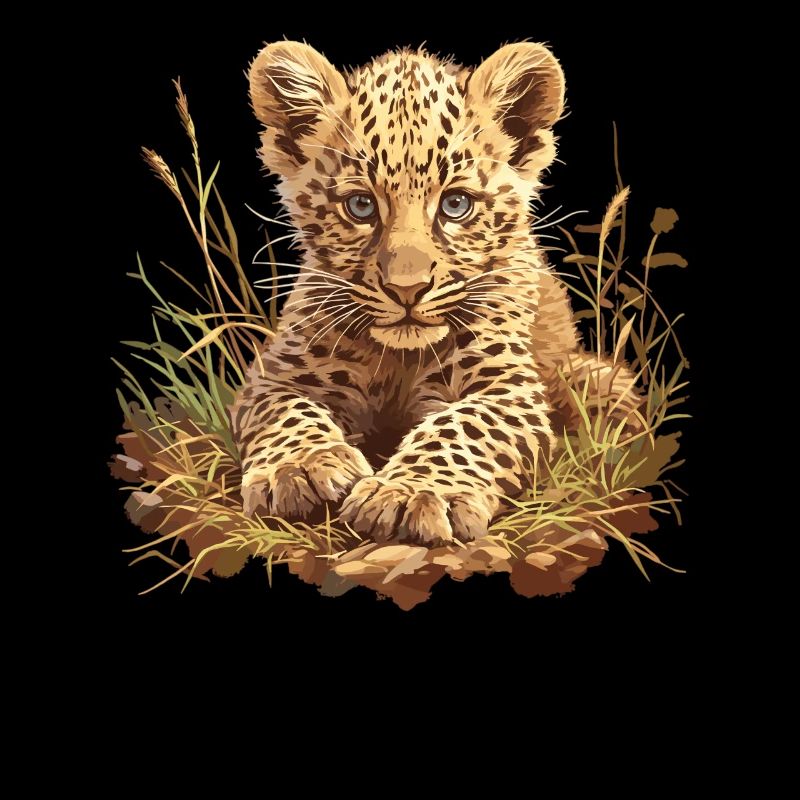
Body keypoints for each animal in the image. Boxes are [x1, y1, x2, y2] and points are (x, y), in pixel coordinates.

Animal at [230, 40, 642, 546]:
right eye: (360, 206)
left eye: (456, 205)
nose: (406, 289)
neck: (398, 360)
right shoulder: (278, 376)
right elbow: (287, 412)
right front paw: (300, 469)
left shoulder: (504, 386)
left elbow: (462, 427)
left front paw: (411, 494)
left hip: (593, 377)